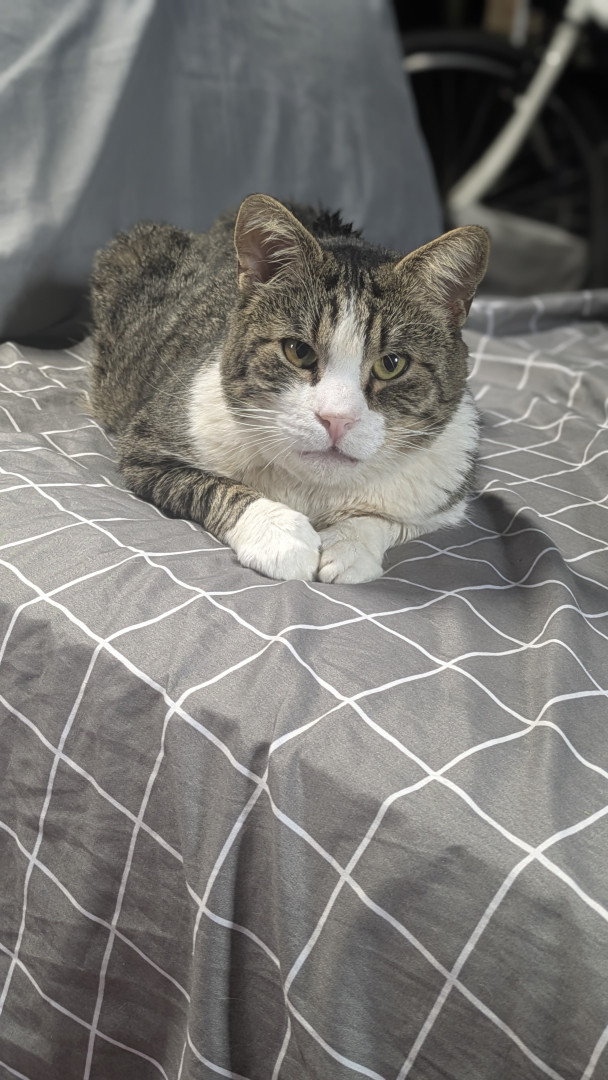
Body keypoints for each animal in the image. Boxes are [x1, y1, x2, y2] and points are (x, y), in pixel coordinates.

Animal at [89, 194, 489, 583]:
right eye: (299, 351)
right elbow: (209, 485)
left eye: (391, 364)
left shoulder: (447, 493)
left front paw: (351, 544)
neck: (314, 491)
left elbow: (391, 520)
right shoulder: (149, 445)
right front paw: (277, 533)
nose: (336, 419)